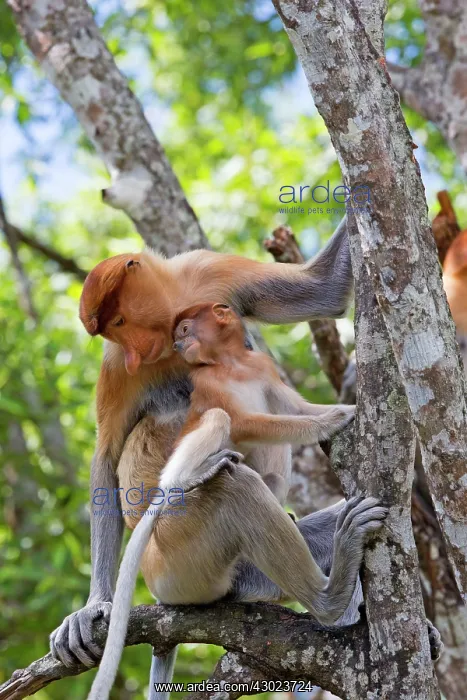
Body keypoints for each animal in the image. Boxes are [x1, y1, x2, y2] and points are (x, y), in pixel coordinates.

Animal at [86, 301, 386, 700]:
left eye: (184, 329)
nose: (179, 344)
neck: (234, 364)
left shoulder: (263, 369)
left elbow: (292, 406)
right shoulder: (208, 384)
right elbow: (242, 420)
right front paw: (335, 418)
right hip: (178, 554)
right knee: (232, 474)